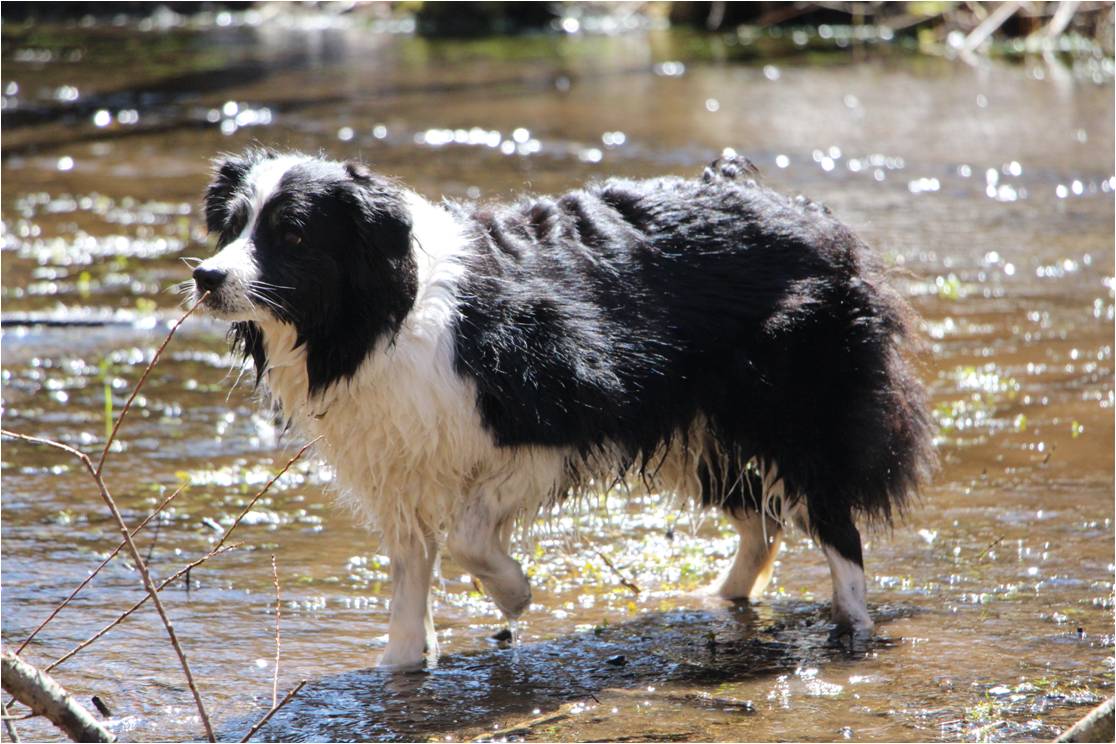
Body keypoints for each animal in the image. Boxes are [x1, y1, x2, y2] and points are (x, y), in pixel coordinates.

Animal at [191, 148, 932, 673]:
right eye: (230, 226)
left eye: (291, 233)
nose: (205, 275)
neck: (374, 316)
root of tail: (807, 213)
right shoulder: (401, 464)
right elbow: (410, 577)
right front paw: (400, 669)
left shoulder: (563, 410)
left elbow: (468, 535)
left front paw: (514, 594)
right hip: (702, 426)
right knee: (762, 515)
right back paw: (725, 597)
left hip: (794, 410)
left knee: (833, 520)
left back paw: (852, 625)